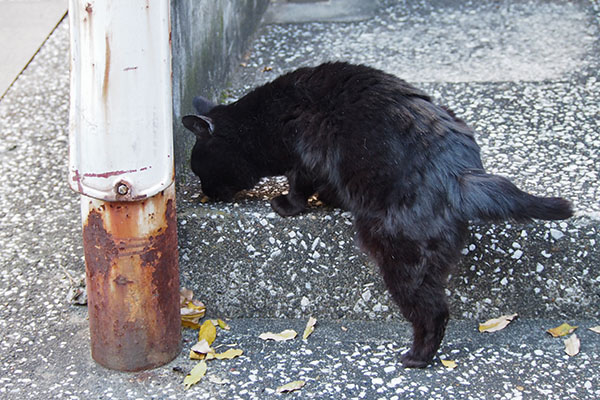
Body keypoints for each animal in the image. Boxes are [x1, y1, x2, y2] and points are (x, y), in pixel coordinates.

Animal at [182, 61, 572, 368]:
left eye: (200, 171)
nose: (206, 194)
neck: (265, 120)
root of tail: (459, 174)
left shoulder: (305, 155)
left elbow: (298, 186)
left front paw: (286, 206)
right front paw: (331, 200)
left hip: (398, 257)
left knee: (434, 313)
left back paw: (417, 358)